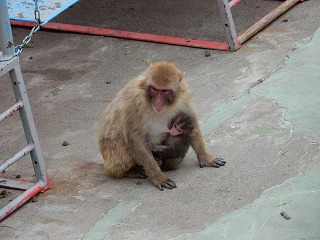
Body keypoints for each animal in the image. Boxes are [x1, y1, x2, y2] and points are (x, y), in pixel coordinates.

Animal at [97, 61, 225, 190]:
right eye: (154, 89)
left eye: (164, 91)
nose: (158, 101)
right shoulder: (134, 101)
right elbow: (135, 139)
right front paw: (159, 177)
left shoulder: (183, 94)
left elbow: (191, 121)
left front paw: (206, 157)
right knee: (119, 139)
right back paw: (131, 171)